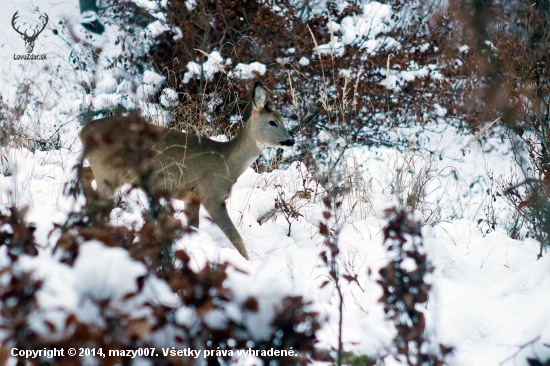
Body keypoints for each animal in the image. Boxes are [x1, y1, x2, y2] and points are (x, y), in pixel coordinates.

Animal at [79, 83, 296, 260]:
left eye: (283, 119)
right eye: (273, 122)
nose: (291, 140)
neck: (227, 162)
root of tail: (84, 131)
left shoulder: (191, 197)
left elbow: (195, 228)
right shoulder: (212, 195)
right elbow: (236, 238)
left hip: (109, 172)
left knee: (84, 174)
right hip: (108, 172)